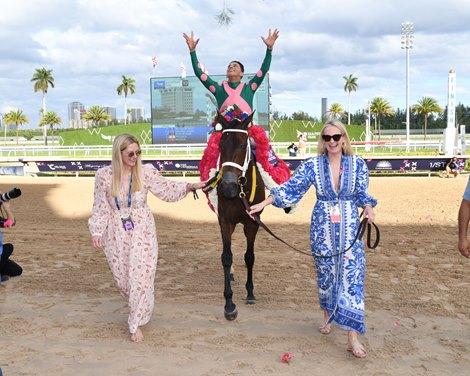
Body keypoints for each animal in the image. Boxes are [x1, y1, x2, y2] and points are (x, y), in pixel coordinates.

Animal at [209, 111, 264, 320]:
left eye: (242, 144)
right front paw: (229, 304)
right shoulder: (225, 221)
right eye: (220, 145)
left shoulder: (252, 223)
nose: (227, 185)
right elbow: (226, 256)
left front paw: (250, 293)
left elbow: (249, 257)